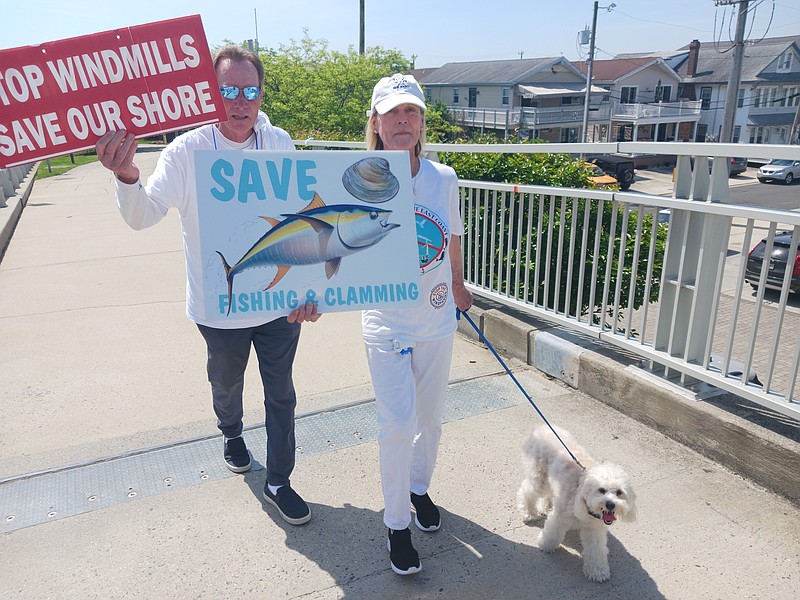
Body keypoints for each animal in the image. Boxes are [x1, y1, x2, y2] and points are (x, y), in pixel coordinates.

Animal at [520, 422, 636, 580]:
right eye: (601, 490)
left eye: (619, 493)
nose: (610, 505)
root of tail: (541, 427)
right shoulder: (560, 517)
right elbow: (552, 532)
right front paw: (545, 545)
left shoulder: (594, 529)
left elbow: (596, 550)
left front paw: (597, 571)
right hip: (540, 479)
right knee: (527, 490)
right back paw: (529, 513)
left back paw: (546, 506)